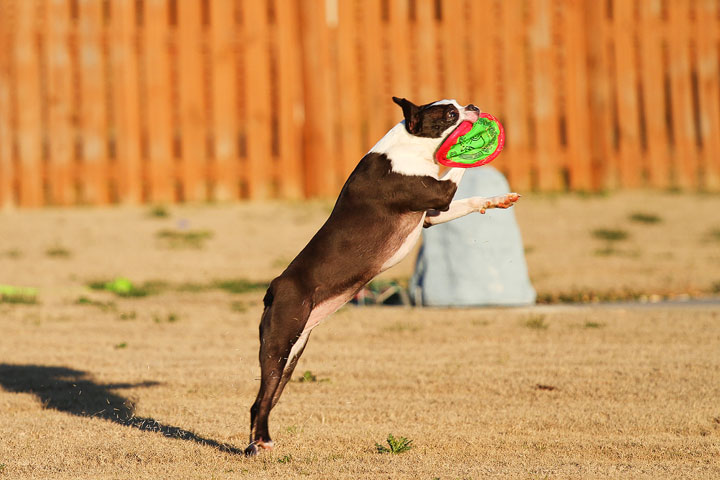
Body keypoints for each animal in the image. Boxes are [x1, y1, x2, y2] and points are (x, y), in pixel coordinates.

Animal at [245, 96, 520, 454]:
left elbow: (469, 199)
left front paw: (497, 199)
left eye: (457, 103)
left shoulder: (431, 216)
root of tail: (275, 286)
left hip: (293, 352)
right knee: (261, 399)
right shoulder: (438, 194)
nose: (472, 107)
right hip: (279, 342)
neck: (410, 145)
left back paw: (255, 444)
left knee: (263, 399)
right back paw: (261, 442)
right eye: (450, 113)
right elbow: (456, 171)